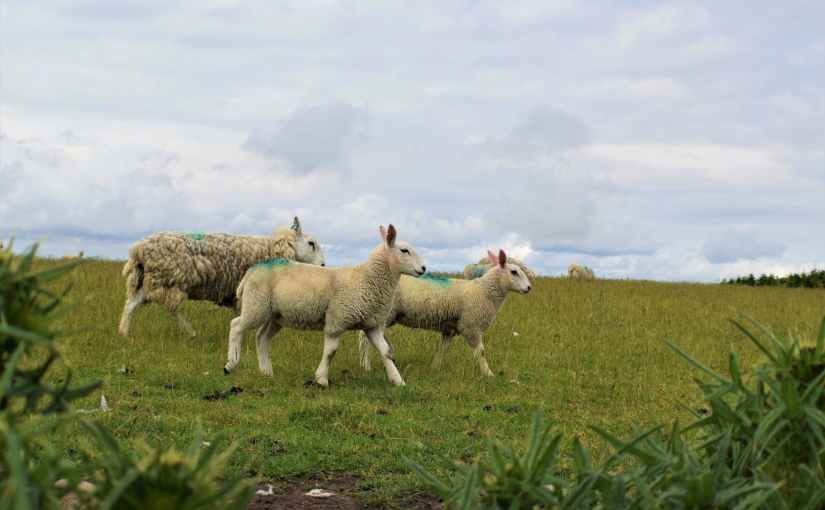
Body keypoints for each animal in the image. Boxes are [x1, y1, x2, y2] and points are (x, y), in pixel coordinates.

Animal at [118, 217, 325, 338]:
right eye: (311, 243)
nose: (324, 265)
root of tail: (138, 249)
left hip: (148, 280)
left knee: (131, 305)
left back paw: (124, 333)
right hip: (170, 280)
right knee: (171, 307)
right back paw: (191, 332)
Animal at [223, 224, 426, 387]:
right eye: (404, 250)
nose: (423, 269)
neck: (366, 279)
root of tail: (250, 272)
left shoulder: (372, 325)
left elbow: (386, 352)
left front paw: (398, 380)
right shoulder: (337, 320)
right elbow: (331, 352)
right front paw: (321, 380)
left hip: (276, 315)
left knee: (262, 337)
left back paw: (266, 372)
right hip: (256, 305)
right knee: (236, 326)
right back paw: (230, 364)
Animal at [359, 249, 531, 377]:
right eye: (514, 272)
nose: (529, 288)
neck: (484, 291)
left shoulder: (450, 329)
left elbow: (442, 350)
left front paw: (434, 367)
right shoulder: (470, 326)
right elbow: (481, 352)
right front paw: (489, 374)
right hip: (383, 313)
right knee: (366, 339)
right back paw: (366, 365)